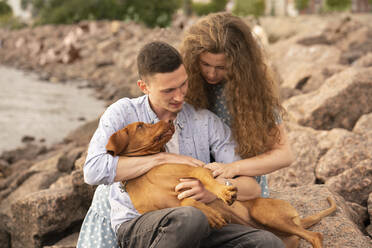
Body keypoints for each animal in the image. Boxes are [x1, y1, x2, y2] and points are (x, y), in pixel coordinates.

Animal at [105, 120, 338, 248]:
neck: (145, 173)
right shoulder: (158, 210)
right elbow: (185, 203)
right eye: (141, 126)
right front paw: (210, 214)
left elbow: (208, 183)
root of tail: (299, 220)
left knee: (315, 236)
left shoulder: (195, 170)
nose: (169, 121)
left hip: (266, 213)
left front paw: (224, 194)